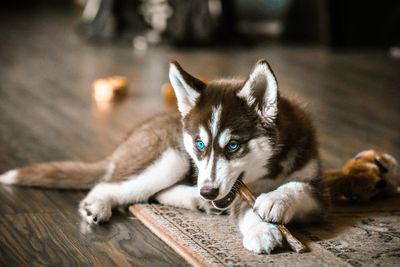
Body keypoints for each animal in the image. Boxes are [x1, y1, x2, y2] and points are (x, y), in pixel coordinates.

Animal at [0, 59, 326, 254]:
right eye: (200, 144)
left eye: (233, 146)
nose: (208, 191)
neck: (270, 172)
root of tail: (130, 138)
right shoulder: (229, 190)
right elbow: (243, 208)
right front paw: (261, 229)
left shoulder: (317, 186)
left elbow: (299, 187)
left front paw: (275, 200)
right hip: (171, 158)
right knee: (111, 185)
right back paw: (98, 205)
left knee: (153, 194)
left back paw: (197, 202)